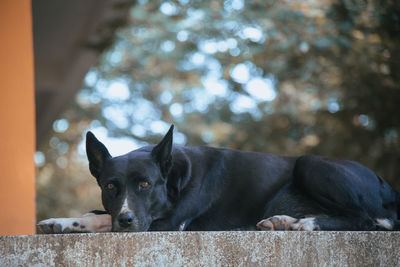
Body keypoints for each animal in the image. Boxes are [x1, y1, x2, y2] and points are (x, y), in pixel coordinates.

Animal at [38, 125, 400, 232]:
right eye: (110, 186)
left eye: (145, 184)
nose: (126, 221)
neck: (175, 177)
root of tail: (388, 186)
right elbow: (97, 213)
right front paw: (64, 220)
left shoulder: (168, 224)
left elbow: (104, 220)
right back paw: (284, 219)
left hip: (309, 164)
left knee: (368, 220)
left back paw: (304, 223)